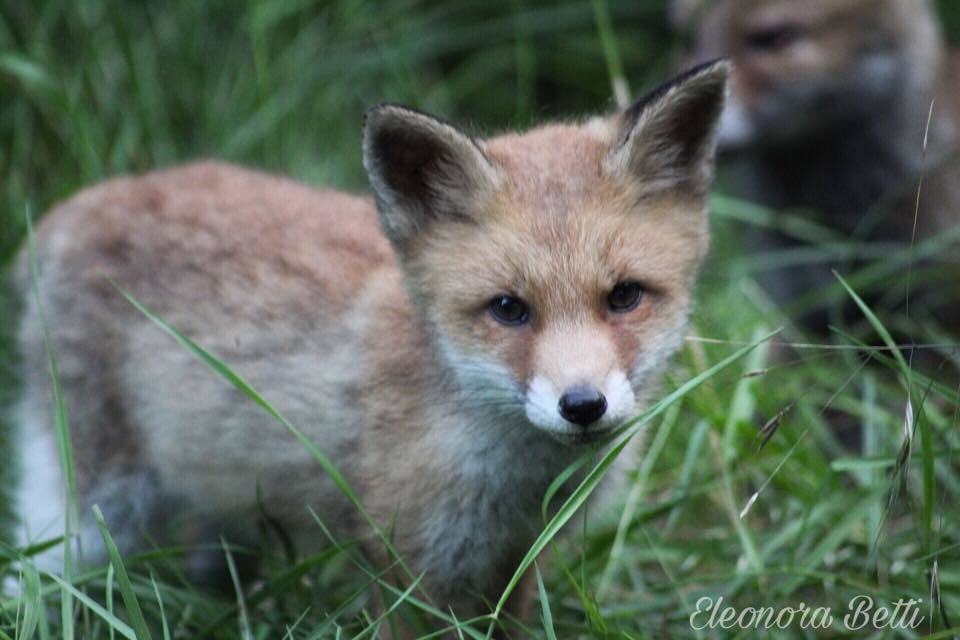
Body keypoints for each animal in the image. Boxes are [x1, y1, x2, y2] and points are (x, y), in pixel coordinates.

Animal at [11, 60, 728, 620]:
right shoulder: (407, 557)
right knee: (34, 571)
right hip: (99, 508)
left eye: (624, 297)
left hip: (218, 495)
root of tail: (75, 205)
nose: (582, 406)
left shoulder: (520, 557)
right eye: (508, 309)